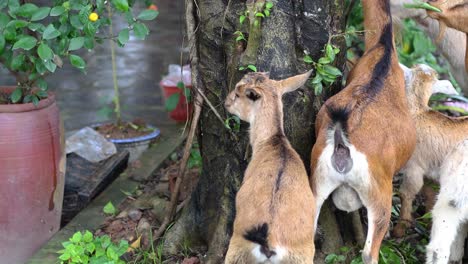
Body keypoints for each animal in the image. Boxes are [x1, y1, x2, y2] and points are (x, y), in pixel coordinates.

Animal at [394, 64, 466, 245]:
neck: (417, 114)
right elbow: (429, 195)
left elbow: (406, 193)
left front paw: (399, 231)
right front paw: (427, 223)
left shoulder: (414, 167)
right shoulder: (429, 171)